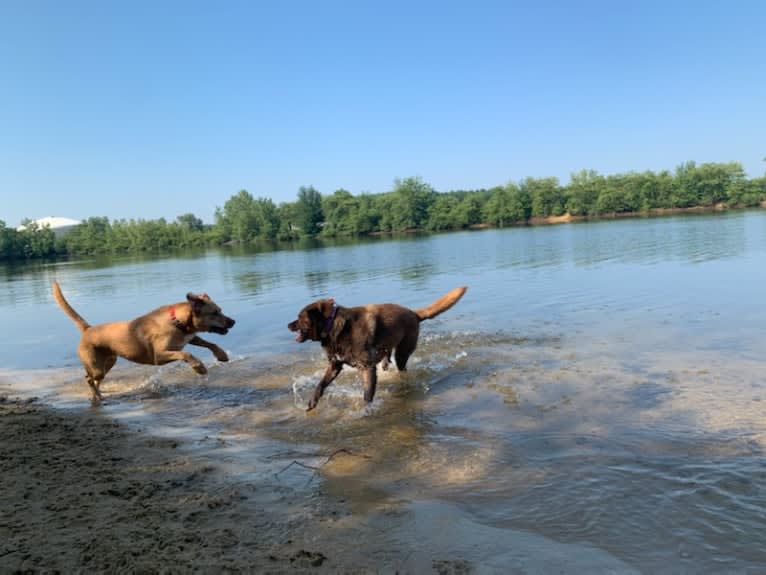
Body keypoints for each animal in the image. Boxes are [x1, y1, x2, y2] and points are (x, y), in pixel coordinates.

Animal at [52, 282, 236, 402]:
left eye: (220, 310)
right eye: (214, 313)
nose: (233, 322)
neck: (177, 322)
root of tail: (88, 329)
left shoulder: (190, 337)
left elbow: (209, 343)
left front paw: (222, 355)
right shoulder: (159, 356)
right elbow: (186, 353)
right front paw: (199, 368)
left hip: (109, 362)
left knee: (93, 378)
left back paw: (98, 394)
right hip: (96, 365)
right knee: (89, 379)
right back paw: (97, 396)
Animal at [288, 286, 468, 412]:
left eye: (299, 318)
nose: (288, 325)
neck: (333, 327)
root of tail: (414, 314)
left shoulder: (367, 367)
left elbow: (367, 394)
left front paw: (365, 410)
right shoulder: (334, 365)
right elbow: (321, 384)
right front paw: (312, 401)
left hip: (402, 354)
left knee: (401, 367)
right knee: (386, 358)